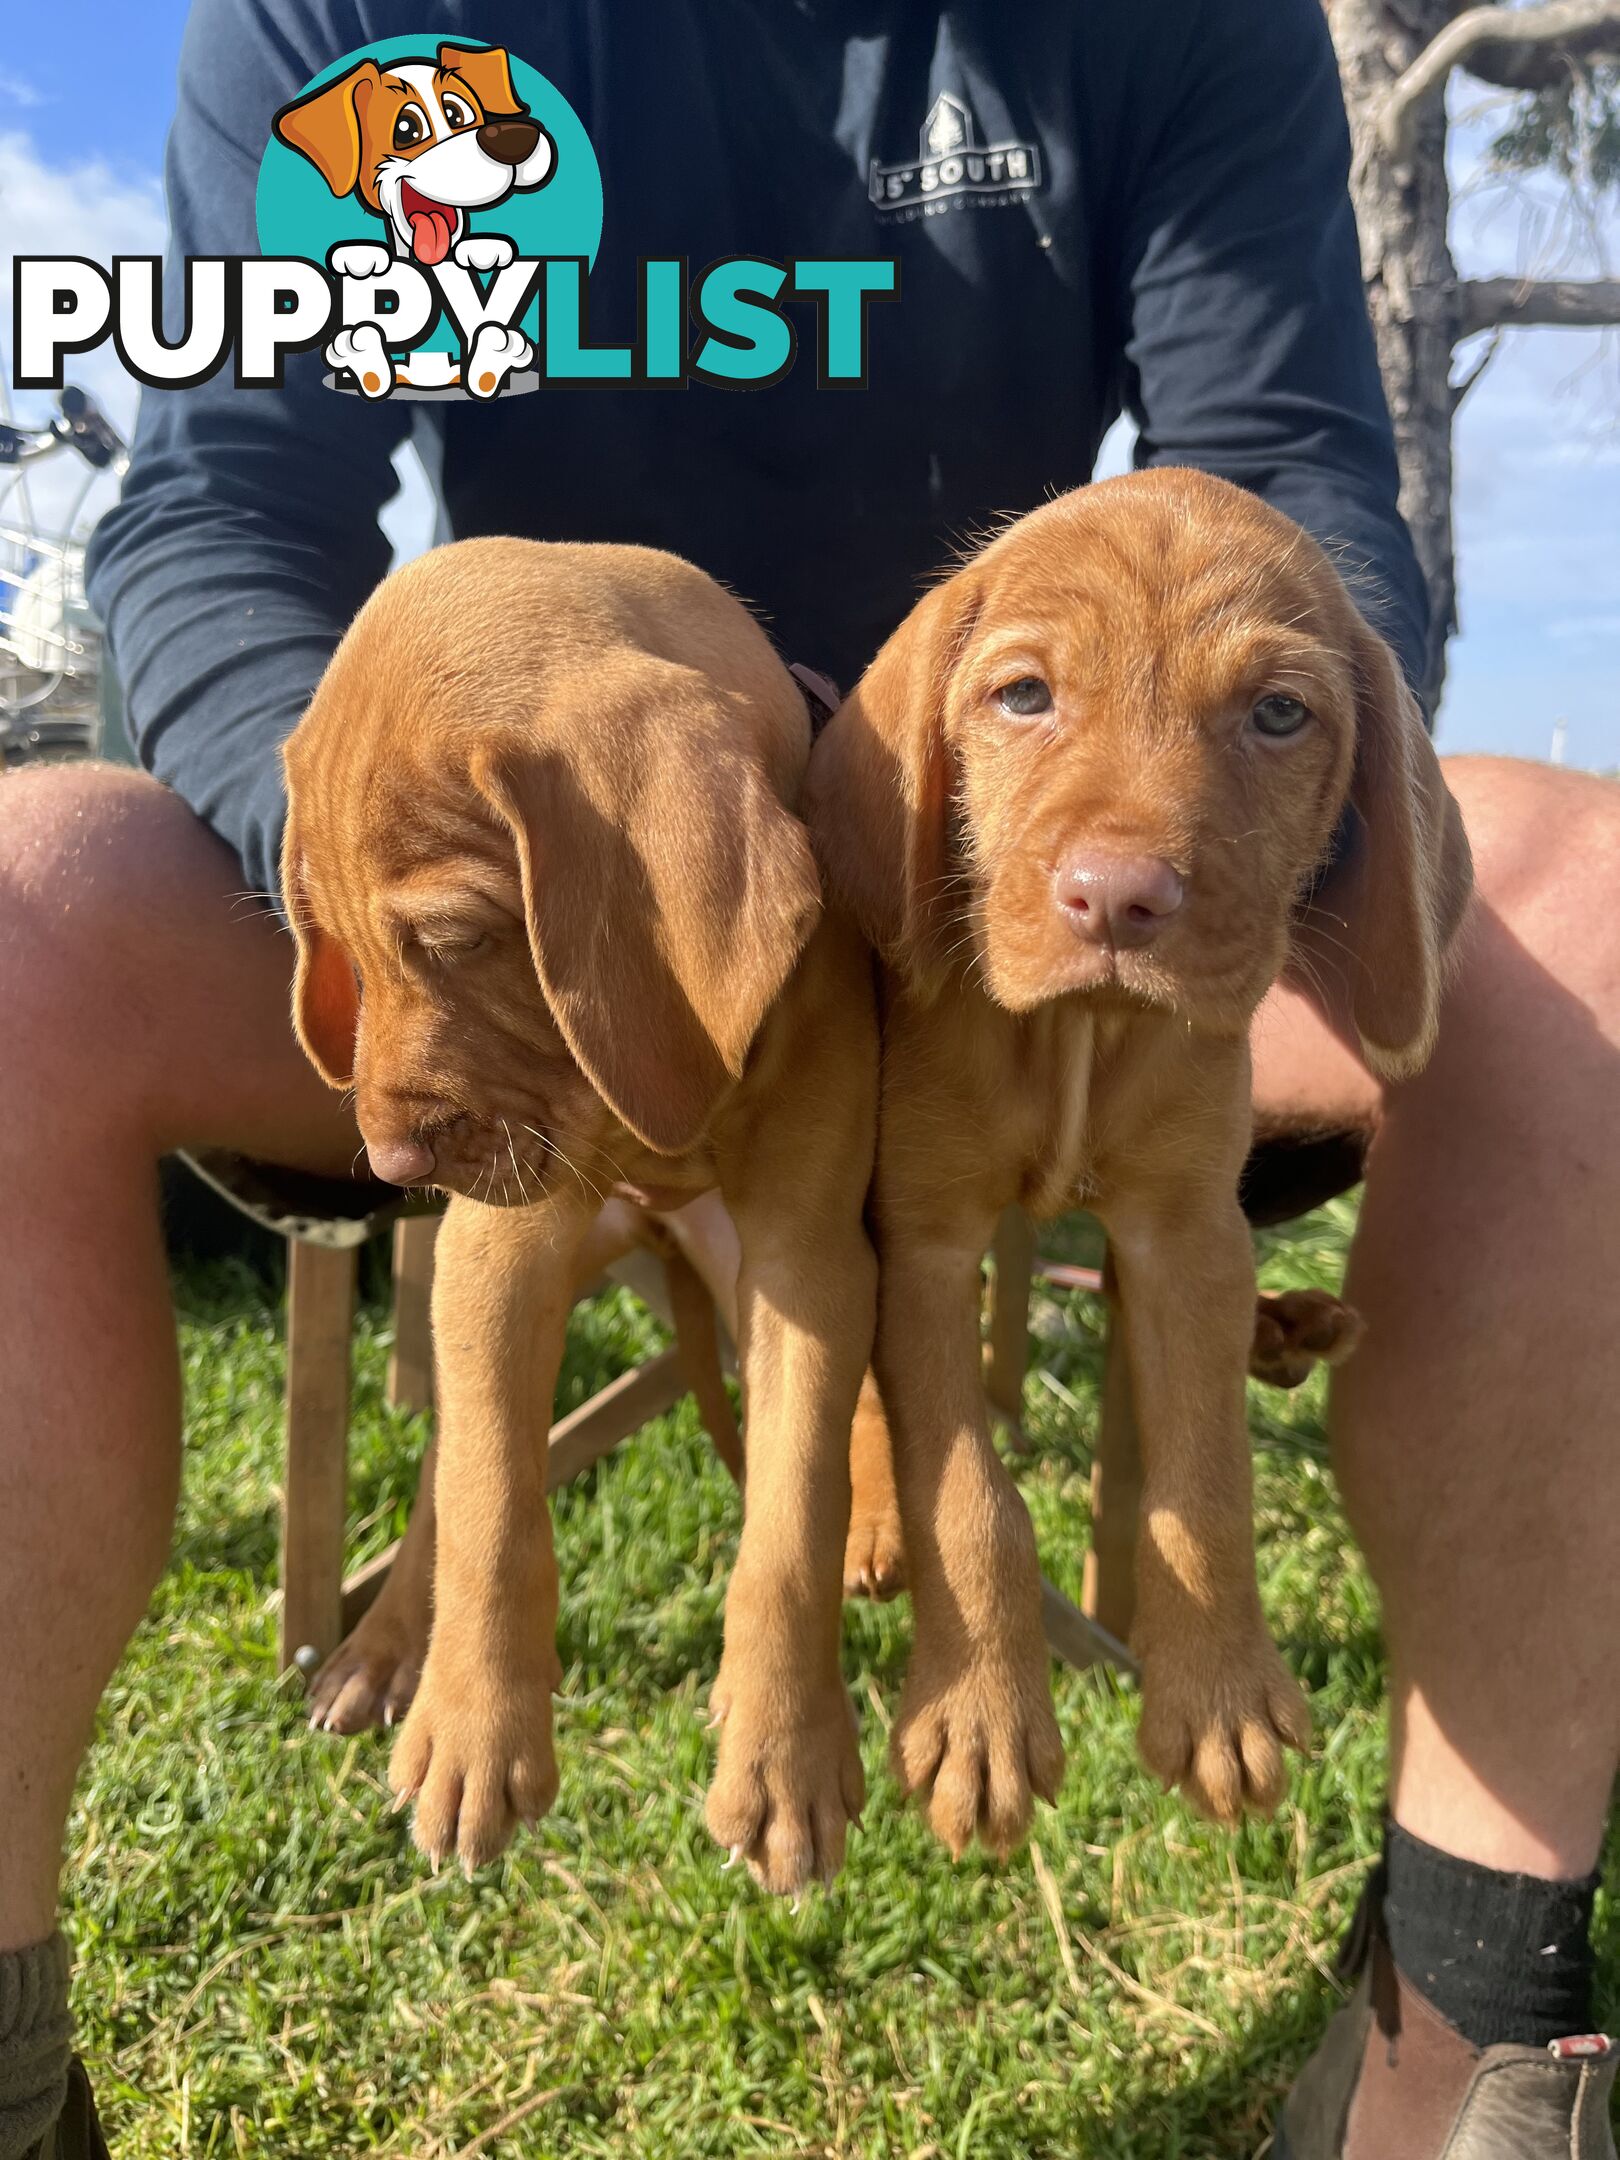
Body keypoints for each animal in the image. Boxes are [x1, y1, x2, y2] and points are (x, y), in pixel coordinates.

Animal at [285, 540, 881, 1892]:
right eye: (329, 942)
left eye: (455, 936)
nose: (391, 1159)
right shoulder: (501, 1253)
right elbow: (492, 1505)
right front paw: (473, 1736)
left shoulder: (807, 1266)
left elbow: (792, 1517)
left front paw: (785, 1758)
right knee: (448, 1472)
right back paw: (383, 1652)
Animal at [807, 473, 1477, 1857]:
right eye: (1023, 696)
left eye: (1278, 714)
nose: (1115, 899)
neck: (1080, 1034)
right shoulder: (925, 1239)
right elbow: (969, 1489)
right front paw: (979, 1717)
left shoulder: (1185, 1235)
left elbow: (1205, 1480)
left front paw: (1219, 1692)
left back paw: (1287, 1328)